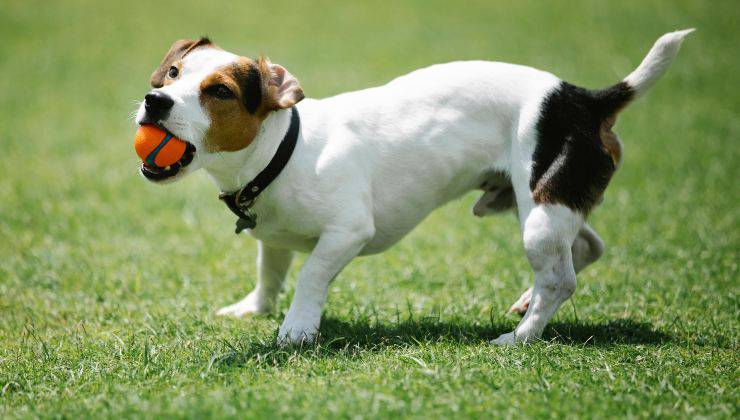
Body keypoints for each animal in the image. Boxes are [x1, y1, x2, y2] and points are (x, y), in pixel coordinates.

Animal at [134, 29, 692, 344]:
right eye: (173, 73)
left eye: (220, 91)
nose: (153, 100)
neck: (282, 150)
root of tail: (585, 99)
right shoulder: (273, 239)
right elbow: (269, 274)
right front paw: (254, 310)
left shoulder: (347, 233)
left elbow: (311, 277)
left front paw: (297, 329)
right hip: (535, 202)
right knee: (586, 247)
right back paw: (524, 303)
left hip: (539, 215)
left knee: (561, 279)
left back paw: (520, 336)